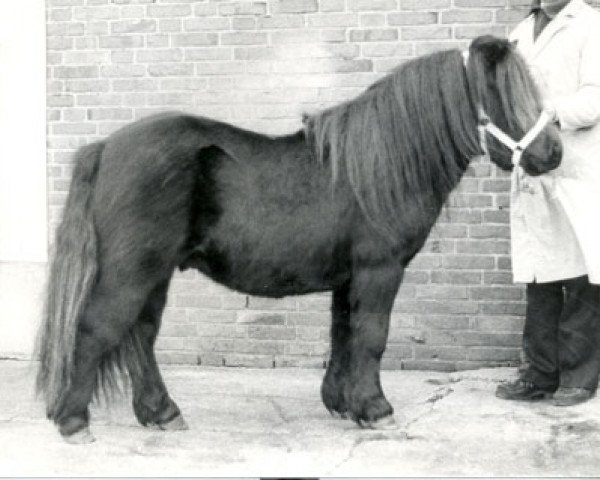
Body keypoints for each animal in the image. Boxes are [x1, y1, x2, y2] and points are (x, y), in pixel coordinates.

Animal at [37, 36, 564, 442]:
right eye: (502, 93)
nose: (553, 152)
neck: (376, 166)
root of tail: (106, 147)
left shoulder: (349, 278)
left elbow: (343, 334)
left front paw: (343, 403)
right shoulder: (379, 270)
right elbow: (371, 337)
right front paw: (376, 409)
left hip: (155, 272)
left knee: (140, 335)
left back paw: (162, 413)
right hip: (132, 271)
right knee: (97, 330)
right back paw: (74, 422)